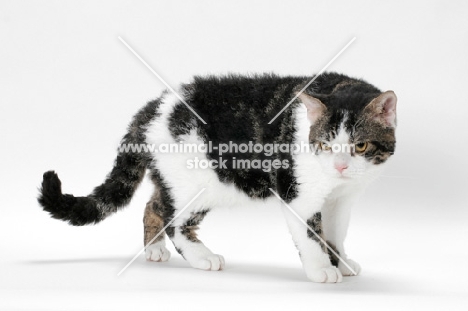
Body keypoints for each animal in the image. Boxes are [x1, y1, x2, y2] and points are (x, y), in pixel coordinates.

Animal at [37, 72, 394, 284]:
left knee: (153, 205)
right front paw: (322, 269)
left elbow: (334, 233)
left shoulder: (341, 201)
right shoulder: (299, 195)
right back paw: (201, 257)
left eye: (360, 145)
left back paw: (154, 250)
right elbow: (311, 234)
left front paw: (340, 262)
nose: (341, 166)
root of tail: (148, 112)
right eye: (325, 144)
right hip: (194, 185)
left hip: (175, 179)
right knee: (172, 218)